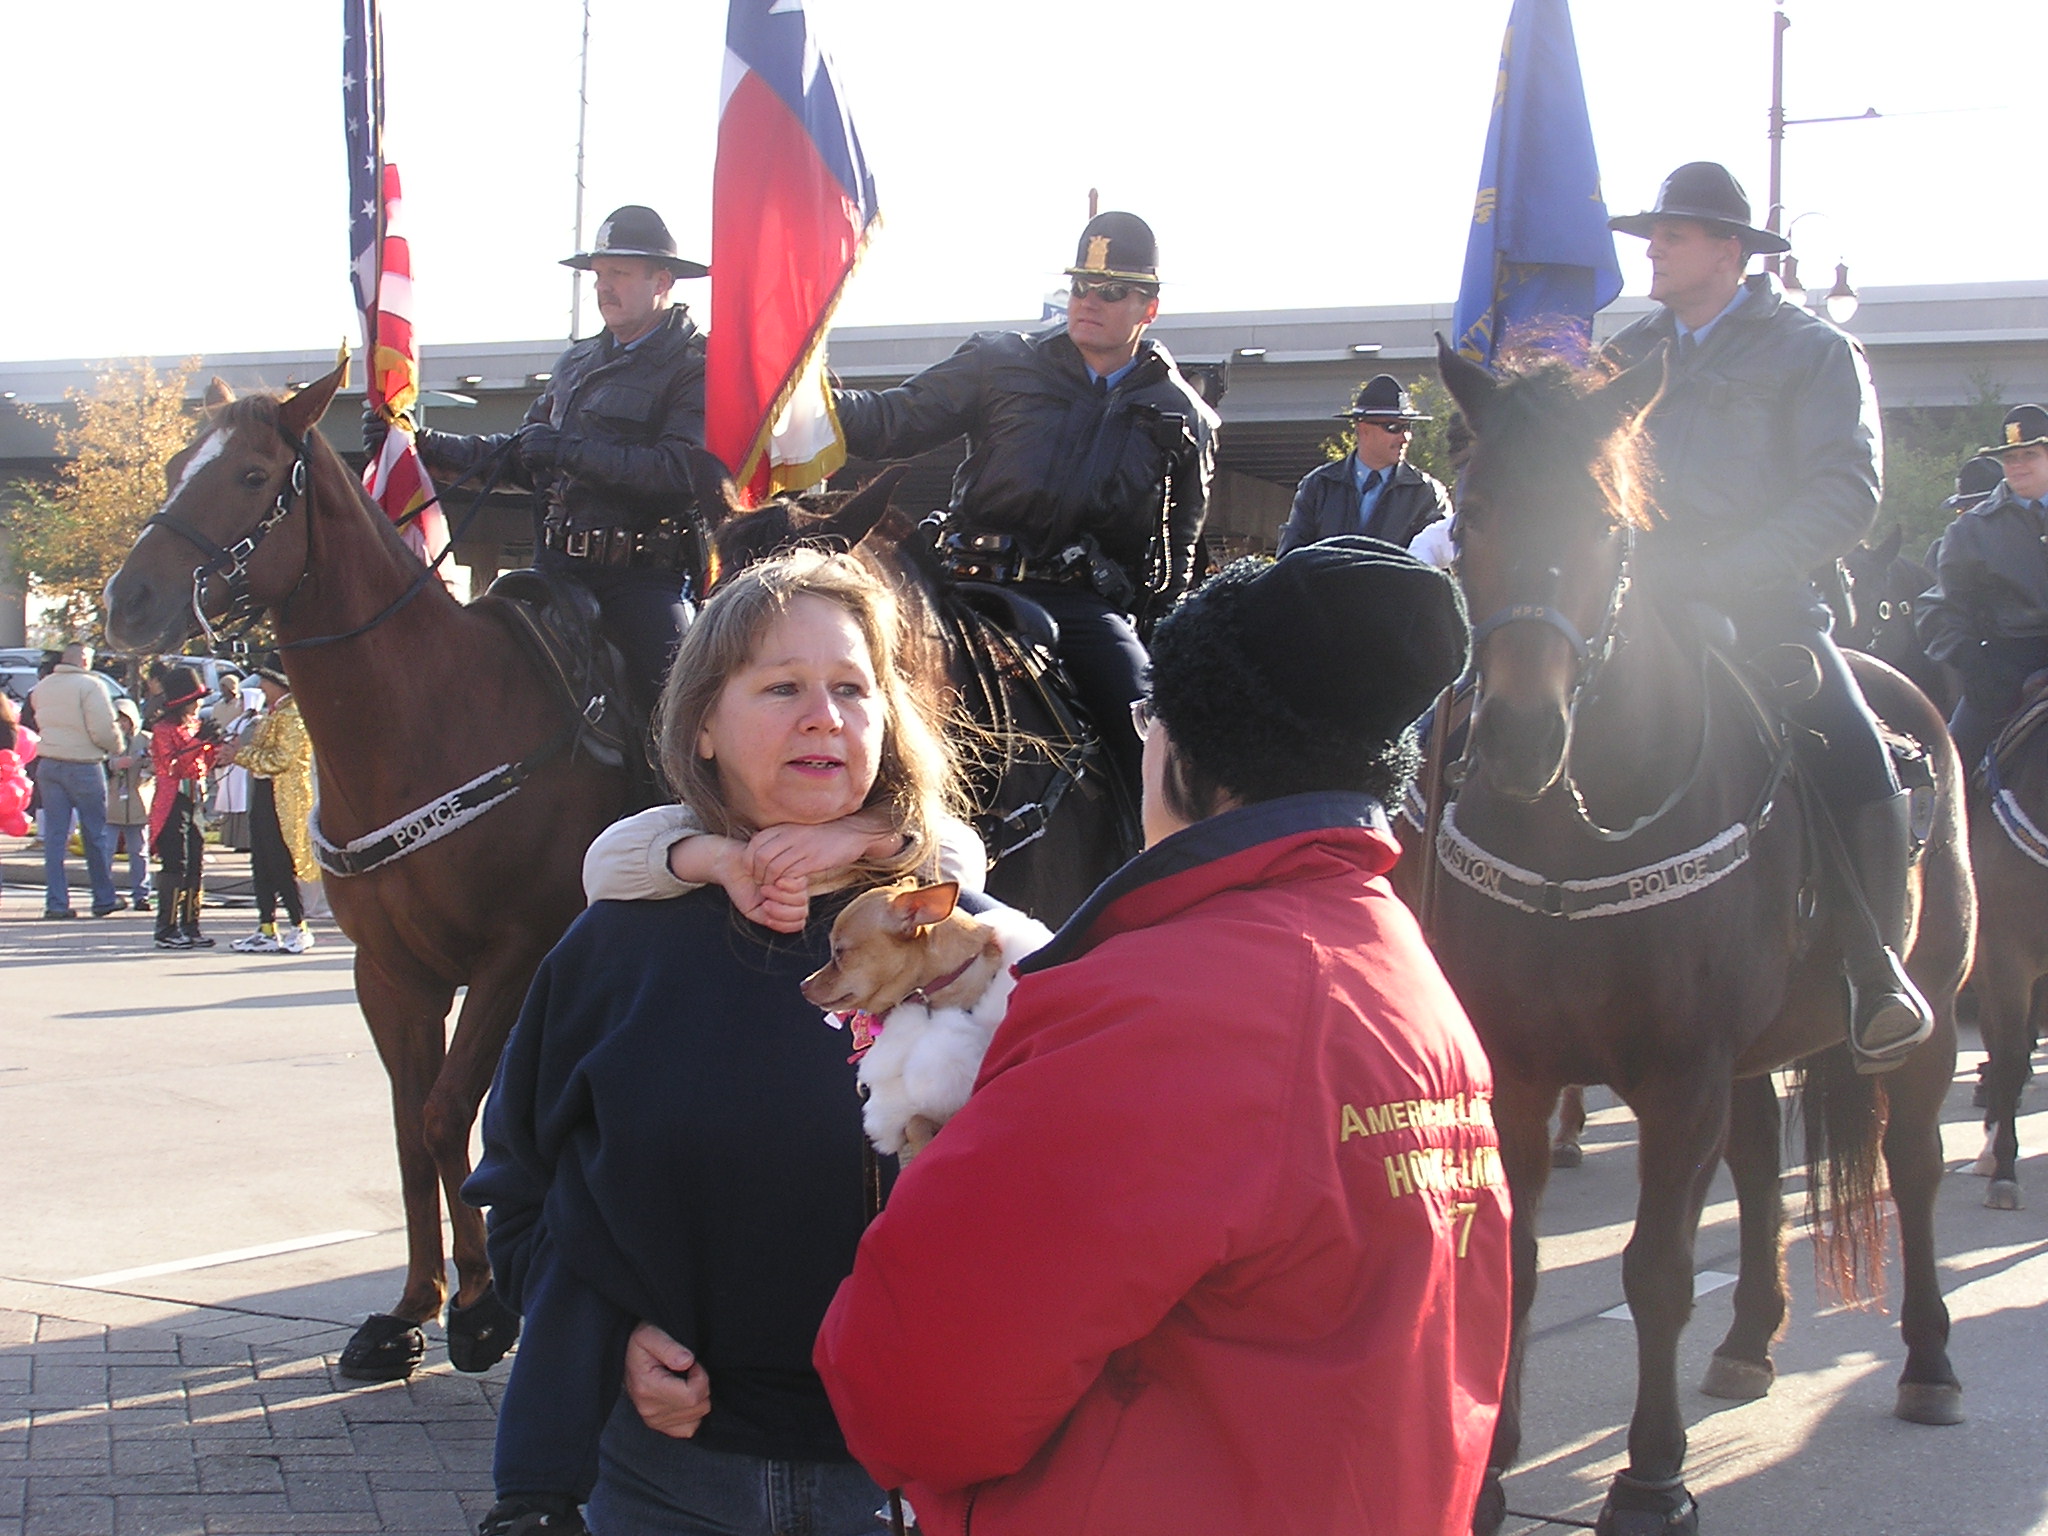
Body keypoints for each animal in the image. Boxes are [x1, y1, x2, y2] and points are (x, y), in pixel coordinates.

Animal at [103, 358, 626, 1384]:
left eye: (254, 476)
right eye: (179, 463)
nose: (125, 602)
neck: (427, 718)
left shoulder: (515, 952)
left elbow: (446, 1113)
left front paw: (480, 1310)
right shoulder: (388, 971)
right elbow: (408, 1129)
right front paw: (415, 1307)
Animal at [1425, 348, 1966, 1536]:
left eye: (1603, 521)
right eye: (1474, 512)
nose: (1520, 737)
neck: (1574, 830)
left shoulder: (1679, 1075)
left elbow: (1657, 1271)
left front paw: (1651, 1479)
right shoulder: (1521, 1069)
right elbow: (1520, 1260)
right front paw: (1489, 1474)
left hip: (1933, 1012)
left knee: (1911, 1167)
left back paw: (1928, 1365)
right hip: (1751, 1059)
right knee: (1761, 1166)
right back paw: (1749, 1339)